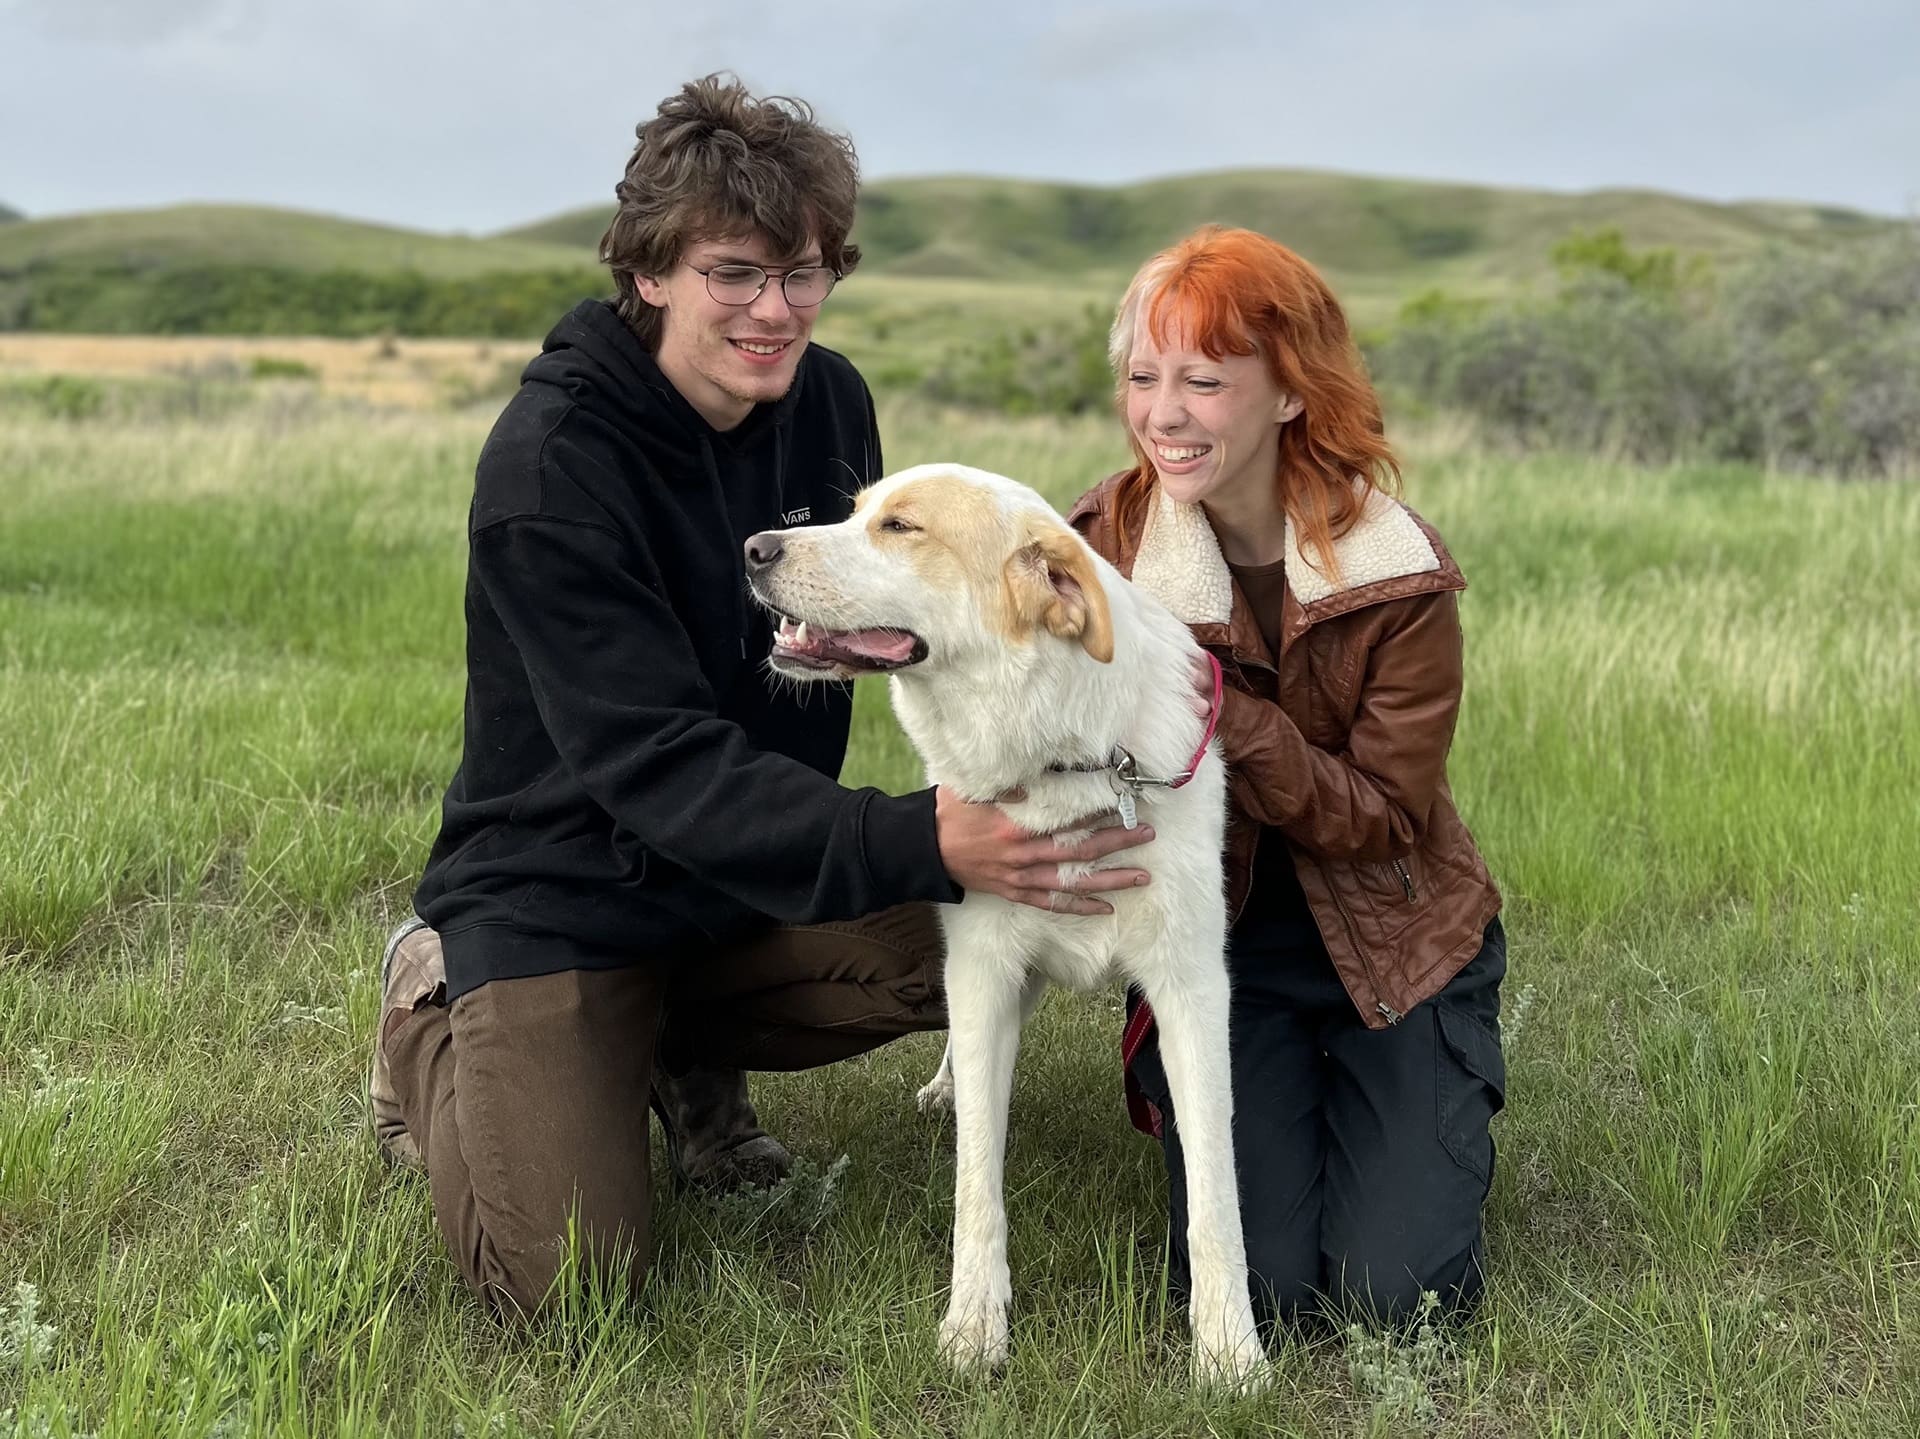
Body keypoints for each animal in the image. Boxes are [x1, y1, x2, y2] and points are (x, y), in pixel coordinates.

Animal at [741, 466, 1267, 1383]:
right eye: (854, 512)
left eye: (901, 527)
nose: (754, 548)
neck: (1075, 763)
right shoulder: (985, 972)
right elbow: (976, 1182)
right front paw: (975, 1328)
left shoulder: (1192, 989)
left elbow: (1215, 1192)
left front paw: (1230, 1351)